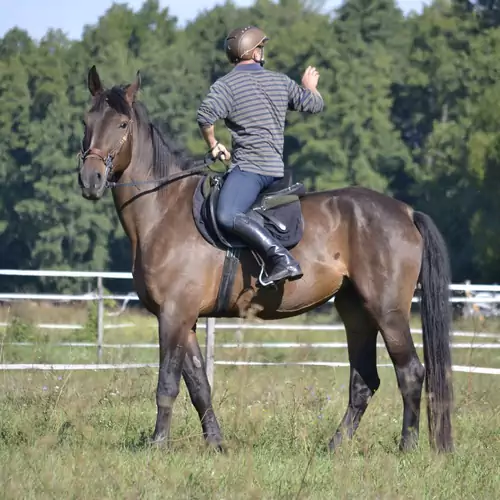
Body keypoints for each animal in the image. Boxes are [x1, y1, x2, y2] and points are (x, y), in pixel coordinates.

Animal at [77, 68, 454, 456]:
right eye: (86, 120)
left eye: (122, 124)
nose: (90, 180)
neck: (164, 208)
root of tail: (405, 212)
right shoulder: (186, 321)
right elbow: (199, 385)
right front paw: (216, 444)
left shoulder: (173, 315)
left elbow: (167, 384)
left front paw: (158, 445)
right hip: (357, 312)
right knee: (364, 381)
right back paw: (334, 447)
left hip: (387, 311)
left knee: (410, 373)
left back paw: (406, 447)